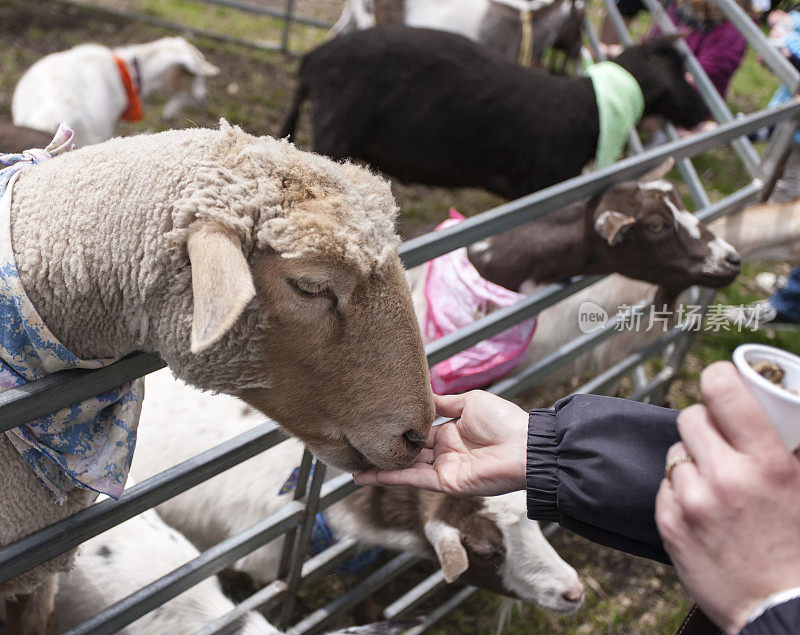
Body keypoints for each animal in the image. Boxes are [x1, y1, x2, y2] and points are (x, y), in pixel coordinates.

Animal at [282, 27, 708, 200]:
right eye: (681, 73)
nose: (704, 112)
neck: (591, 109)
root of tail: (314, 58)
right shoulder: (539, 185)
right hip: (337, 130)